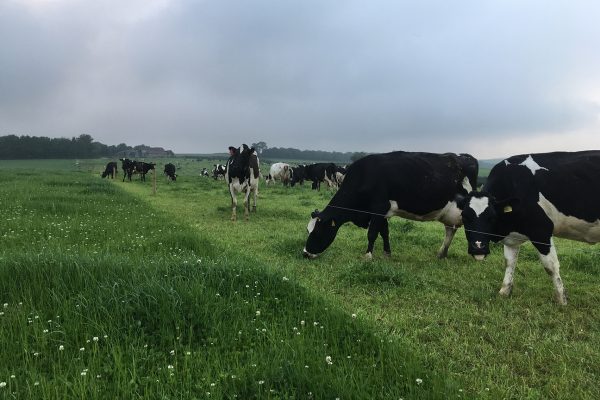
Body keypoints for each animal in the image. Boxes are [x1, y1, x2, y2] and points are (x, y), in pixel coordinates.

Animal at [304, 152, 478, 260]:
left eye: (318, 231)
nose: (305, 253)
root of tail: (466, 157)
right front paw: (387, 253)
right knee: (450, 230)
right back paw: (442, 253)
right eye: (308, 230)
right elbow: (384, 233)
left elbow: (372, 234)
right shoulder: (382, 213)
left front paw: (368, 255)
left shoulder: (378, 208)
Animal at [458, 152, 600, 304]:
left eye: (492, 217)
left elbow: (551, 266)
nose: (478, 247)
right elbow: (509, 262)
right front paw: (504, 292)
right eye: (464, 217)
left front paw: (561, 300)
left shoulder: (541, 231)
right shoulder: (512, 237)